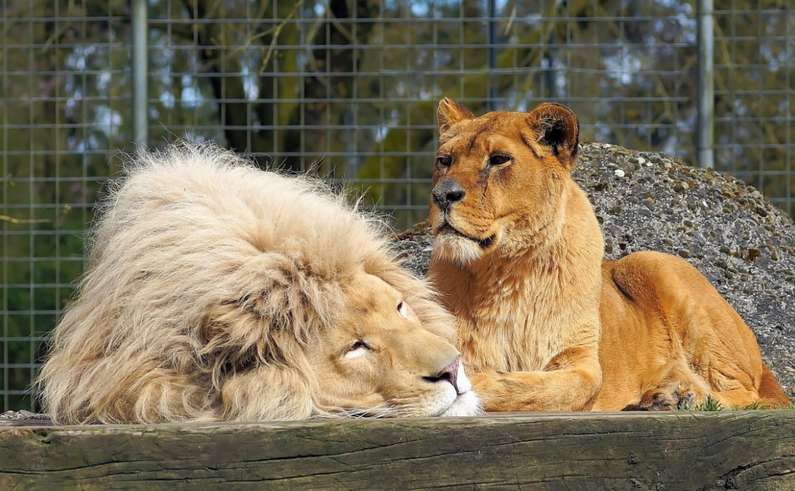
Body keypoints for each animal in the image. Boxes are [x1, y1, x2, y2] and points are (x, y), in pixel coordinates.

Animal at [427, 98, 789, 411]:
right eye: (445, 161)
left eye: (499, 159)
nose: (442, 195)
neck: (505, 270)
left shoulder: (582, 360)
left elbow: (557, 388)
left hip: (652, 262)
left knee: (744, 396)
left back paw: (675, 397)